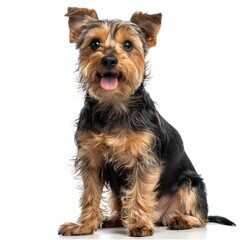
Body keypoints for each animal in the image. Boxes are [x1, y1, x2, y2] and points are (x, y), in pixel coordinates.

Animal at [58, 7, 236, 236]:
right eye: (94, 44)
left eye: (128, 45)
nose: (109, 60)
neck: (113, 106)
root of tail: (161, 217)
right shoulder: (91, 160)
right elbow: (90, 194)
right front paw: (84, 226)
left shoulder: (143, 160)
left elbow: (140, 192)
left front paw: (140, 225)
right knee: (121, 203)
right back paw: (115, 219)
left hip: (192, 184)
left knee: (201, 218)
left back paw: (181, 220)